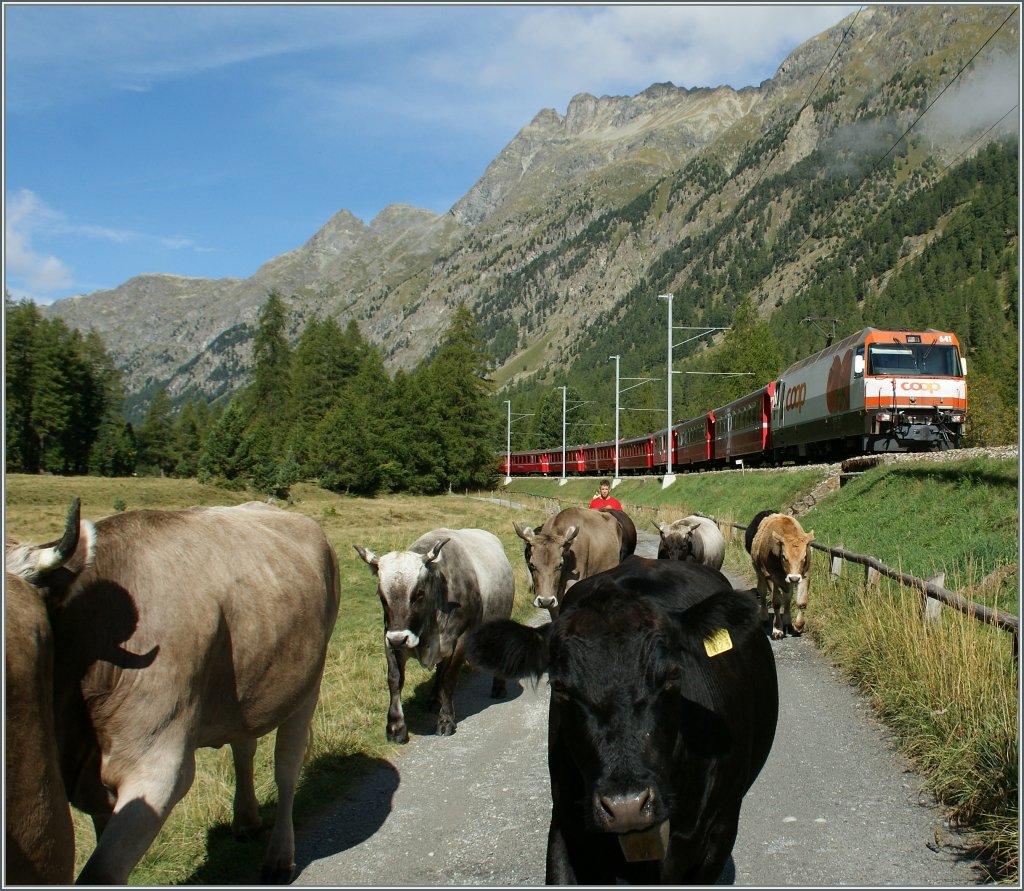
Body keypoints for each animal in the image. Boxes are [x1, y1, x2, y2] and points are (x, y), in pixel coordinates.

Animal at [5, 498, 341, 885]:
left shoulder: (157, 766)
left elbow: (101, 872)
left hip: (308, 684)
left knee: (287, 766)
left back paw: (279, 857)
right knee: (244, 746)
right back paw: (246, 820)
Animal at [354, 527, 514, 743]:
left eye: (419, 594)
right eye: (382, 596)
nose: (399, 639)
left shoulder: (462, 639)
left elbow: (449, 678)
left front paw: (445, 720)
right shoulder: (389, 638)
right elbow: (395, 679)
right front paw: (396, 727)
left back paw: (498, 687)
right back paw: (433, 699)